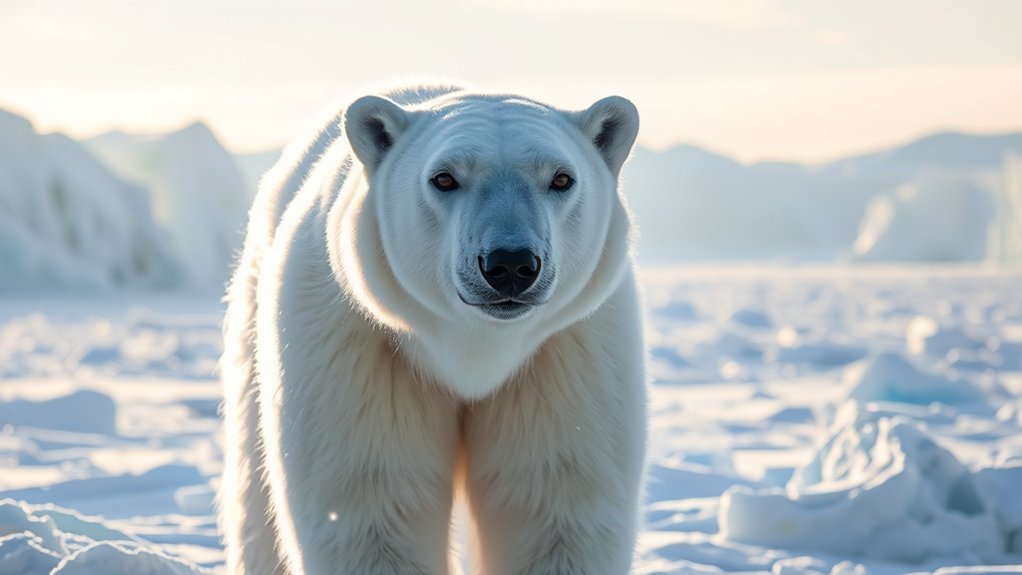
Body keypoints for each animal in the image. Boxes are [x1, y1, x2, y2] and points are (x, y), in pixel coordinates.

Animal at [218, 83, 647, 575]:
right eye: (444, 178)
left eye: (561, 178)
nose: (511, 264)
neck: (474, 350)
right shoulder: (359, 346)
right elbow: (370, 499)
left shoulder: (567, 354)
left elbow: (552, 499)